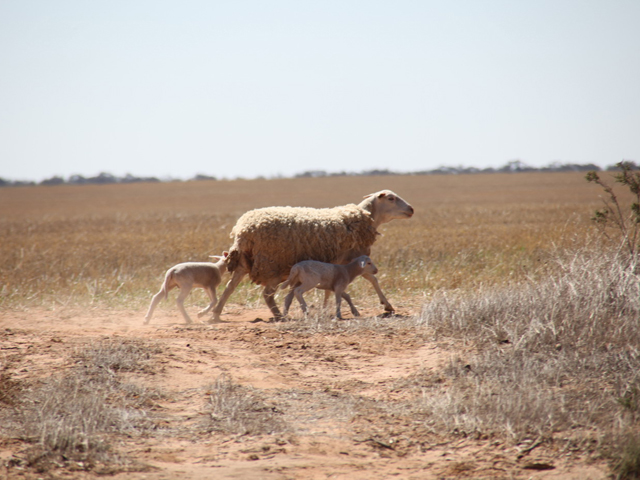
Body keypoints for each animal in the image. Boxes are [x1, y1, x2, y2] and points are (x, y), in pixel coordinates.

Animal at [208, 188, 412, 322]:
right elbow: (372, 280)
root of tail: (241, 229)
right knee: (266, 294)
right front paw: (387, 306)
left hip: (245, 262)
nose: (411, 209)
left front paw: (326, 308)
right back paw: (279, 315)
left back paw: (217, 314)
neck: (365, 218)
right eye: (391, 198)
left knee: (230, 287)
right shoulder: (348, 260)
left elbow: (334, 288)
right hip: (271, 264)